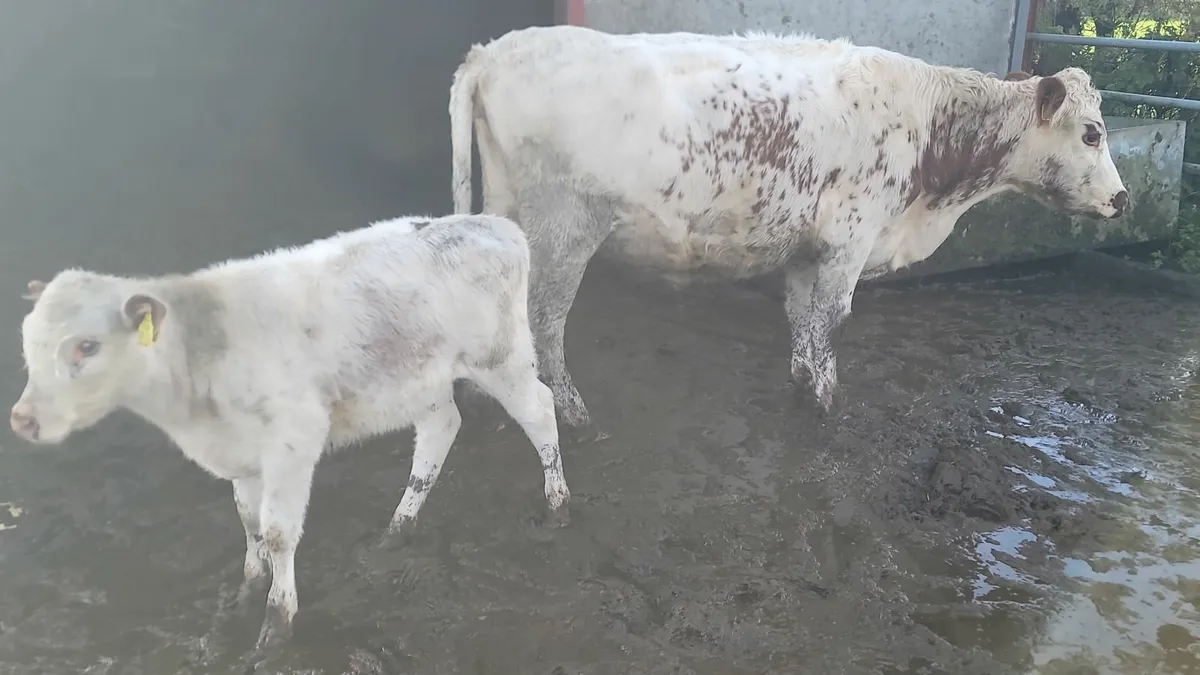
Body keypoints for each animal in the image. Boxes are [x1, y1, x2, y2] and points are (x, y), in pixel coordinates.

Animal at [8, 214, 571, 653]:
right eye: (28, 339)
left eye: (86, 346)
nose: (22, 419)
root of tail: (492, 224)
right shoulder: (241, 454)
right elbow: (248, 522)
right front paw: (245, 589)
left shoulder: (292, 442)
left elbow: (278, 533)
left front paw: (276, 625)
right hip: (419, 377)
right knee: (441, 426)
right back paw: (398, 527)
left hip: (498, 356)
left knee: (539, 410)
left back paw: (557, 503)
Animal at [448, 25, 1128, 437]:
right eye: (1092, 132)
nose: (1122, 199)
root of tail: (494, 50)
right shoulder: (851, 240)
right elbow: (833, 322)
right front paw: (829, 403)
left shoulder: (810, 248)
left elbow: (803, 320)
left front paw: (804, 386)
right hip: (566, 225)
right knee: (545, 319)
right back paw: (571, 412)